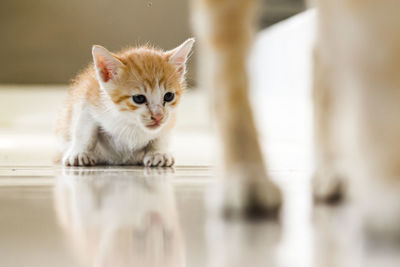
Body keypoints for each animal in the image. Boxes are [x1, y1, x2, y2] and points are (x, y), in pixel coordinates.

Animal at [55, 38, 194, 166]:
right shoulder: (89, 99)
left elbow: (162, 135)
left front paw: (158, 152)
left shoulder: (169, 119)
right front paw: (80, 152)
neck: (129, 122)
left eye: (169, 96)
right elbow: (84, 130)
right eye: (139, 98)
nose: (158, 116)